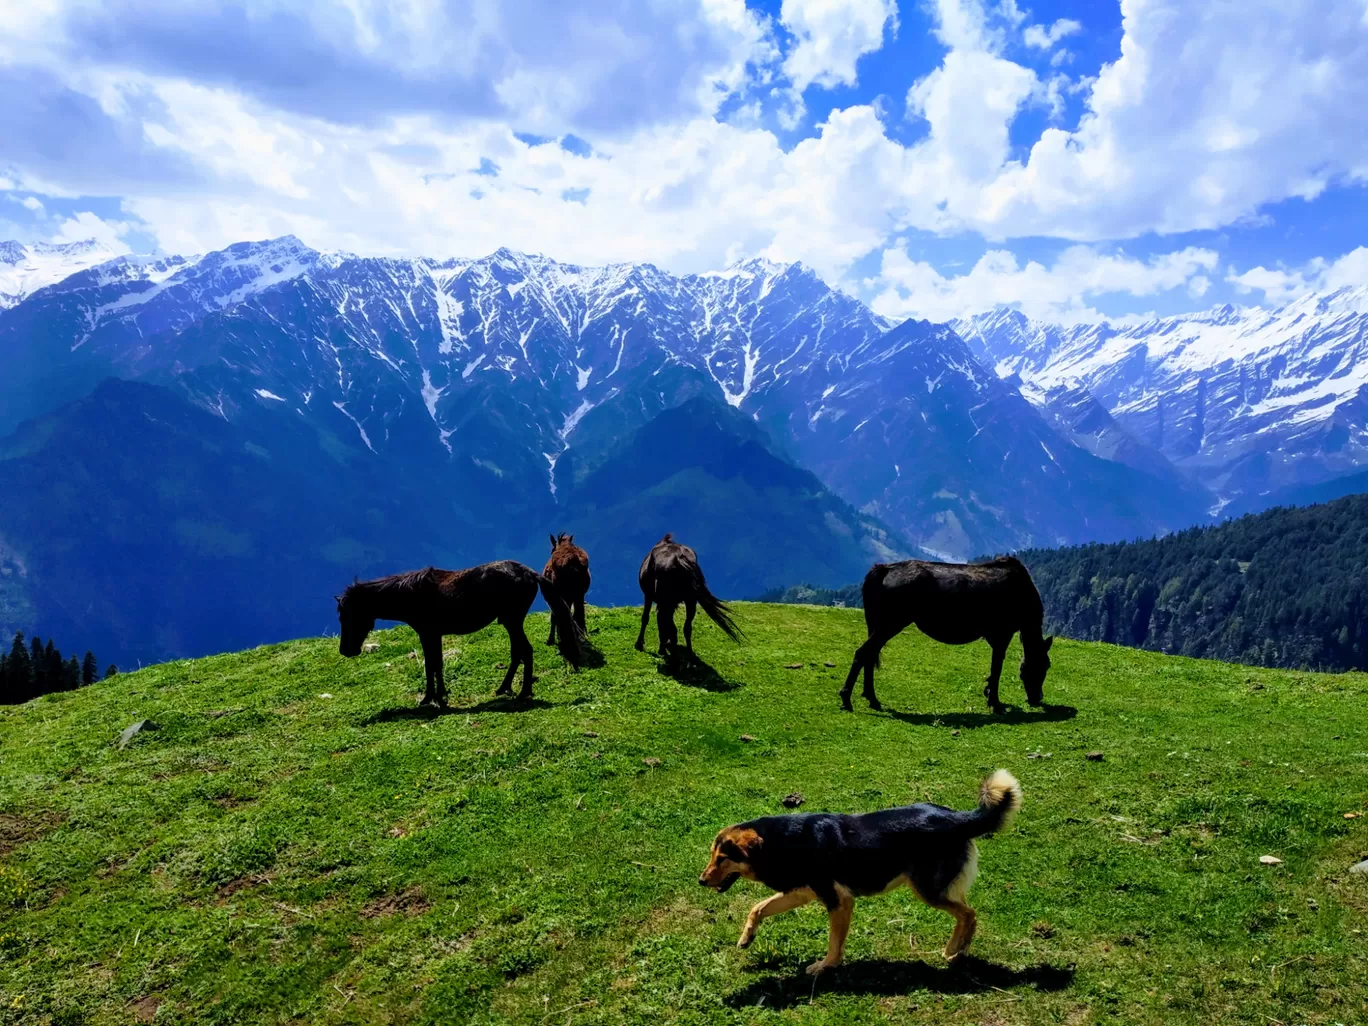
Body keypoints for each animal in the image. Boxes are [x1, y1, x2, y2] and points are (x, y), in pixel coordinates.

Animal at [340, 563, 582, 705]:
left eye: (348, 617)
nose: (345, 651)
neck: (411, 594)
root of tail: (528, 572)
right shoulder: (434, 634)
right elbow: (436, 664)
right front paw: (440, 694)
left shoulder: (427, 633)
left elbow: (431, 664)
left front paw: (430, 698)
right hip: (511, 622)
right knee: (518, 652)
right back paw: (504, 688)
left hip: (512, 621)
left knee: (525, 650)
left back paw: (524, 692)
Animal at [634, 533, 744, 662]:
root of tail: (679, 558)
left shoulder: (649, 596)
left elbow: (647, 618)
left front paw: (640, 644)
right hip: (690, 600)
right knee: (686, 627)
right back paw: (689, 654)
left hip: (668, 601)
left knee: (672, 626)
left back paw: (673, 654)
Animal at [700, 771, 1023, 979]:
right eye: (712, 855)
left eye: (723, 859)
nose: (701, 880)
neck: (781, 842)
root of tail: (957, 817)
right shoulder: (802, 891)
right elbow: (758, 907)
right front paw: (746, 938)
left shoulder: (839, 901)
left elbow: (834, 941)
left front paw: (826, 966)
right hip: (941, 887)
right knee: (968, 913)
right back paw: (961, 950)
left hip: (928, 889)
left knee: (968, 913)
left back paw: (954, 950)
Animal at [837, 563, 1050, 716]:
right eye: (1045, 666)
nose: (1037, 698)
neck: (1022, 592)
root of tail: (884, 569)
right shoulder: (1001, 634)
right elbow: (996, 668)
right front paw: (995, 703)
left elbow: (993, 669)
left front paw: (989, 693)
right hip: (890, 624)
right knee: (863, 653)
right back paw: (847, 698)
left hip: (879, 625)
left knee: (870, 655)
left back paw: (871, 698)